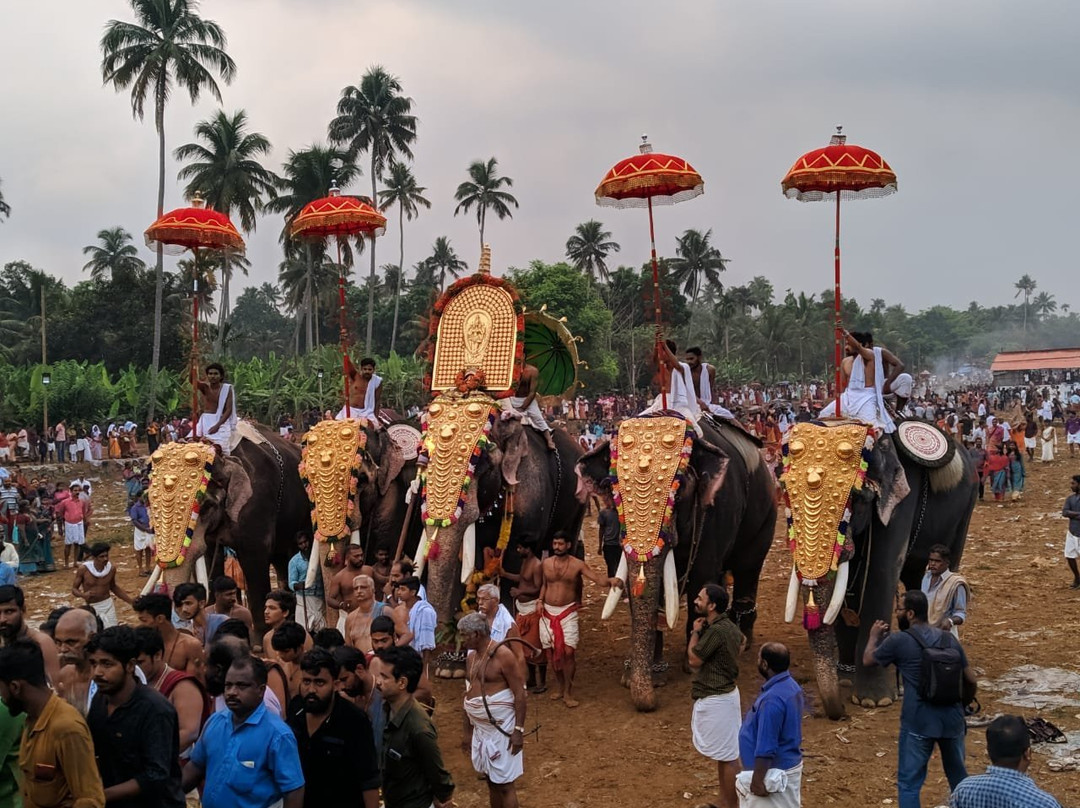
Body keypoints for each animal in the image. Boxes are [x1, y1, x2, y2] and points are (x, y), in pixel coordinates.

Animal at [141, 429, 311, 639]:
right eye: (148, 501)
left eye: (206, 506)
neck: (224, 458)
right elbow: (210, 558)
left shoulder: (256, 507)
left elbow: (255, 563)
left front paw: (259, 639)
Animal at [578, 412, 781, 708]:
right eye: (611, 488)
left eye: (680, 487)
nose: (649, 702)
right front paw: (646, 675)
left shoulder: (720, 506)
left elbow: (702, 576)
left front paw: (692, 665)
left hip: (766, 511)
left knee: (747, 567)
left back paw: (743, 641)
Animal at [781, 419, 976, 717]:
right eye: (787, 499)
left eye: (856, 498)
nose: (839, 714)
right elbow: (849, 588)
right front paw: (846, 679)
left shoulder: (899, 502)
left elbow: (881, 573)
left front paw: (875, 701)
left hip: (965, 510)